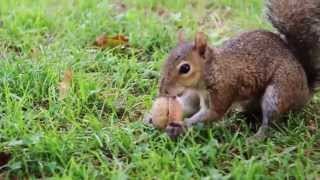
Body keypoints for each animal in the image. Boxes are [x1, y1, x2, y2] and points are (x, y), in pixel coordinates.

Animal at [158, 0, 320, 140]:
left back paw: (255, 138)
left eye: (185, 68)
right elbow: (195, 109)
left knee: (270, 122)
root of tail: (305, 89)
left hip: (278, 92)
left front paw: (182, 125)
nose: (163, 91)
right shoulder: (201, 96)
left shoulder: (224, 89)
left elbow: (214, 113)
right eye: (166, 60)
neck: (213, 69)